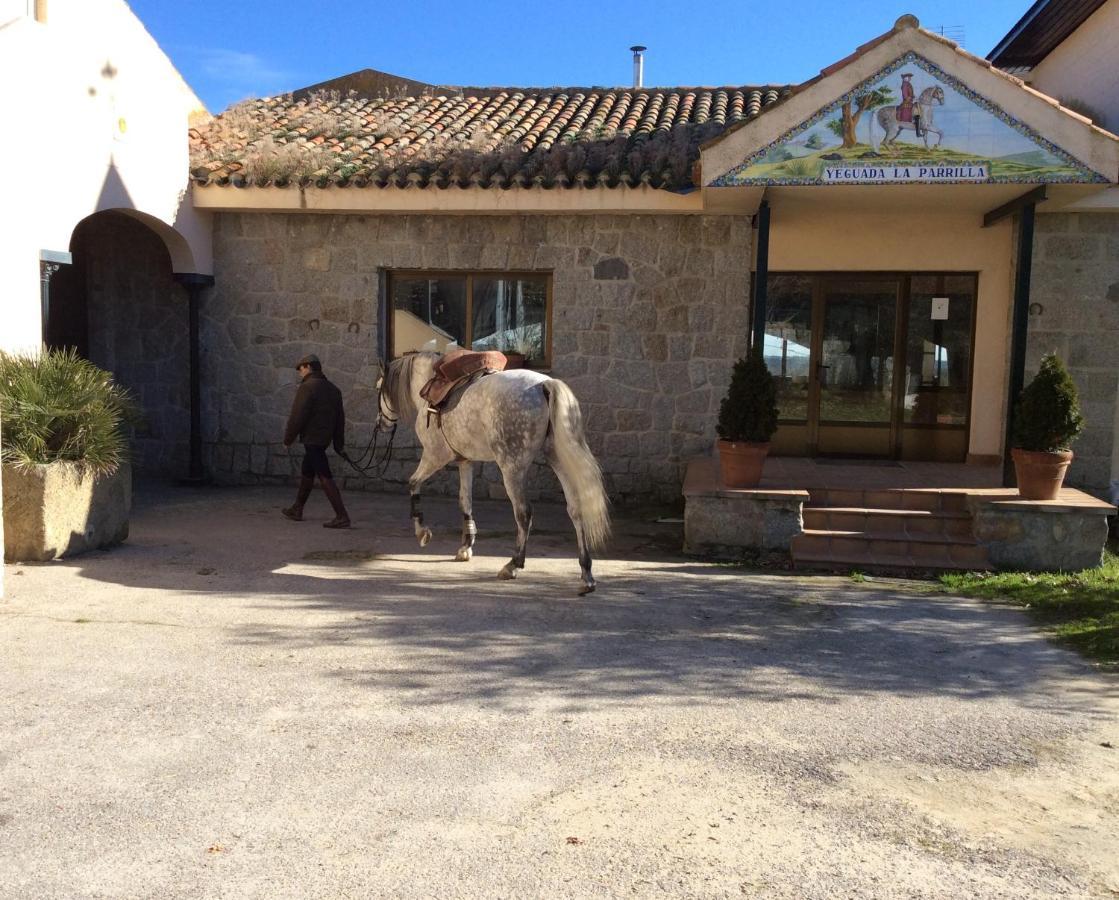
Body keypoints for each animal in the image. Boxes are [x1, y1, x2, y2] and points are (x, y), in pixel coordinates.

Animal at [378, 353, 613, 595]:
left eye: (380, 388)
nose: (381, 423)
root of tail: (545, 384)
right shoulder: (465, 461)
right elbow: (465, 501)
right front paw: (466, 547)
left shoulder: (434, 457)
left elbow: (413, 484)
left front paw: (422, 533)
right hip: (557, 459)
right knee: (575, 509)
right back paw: (586, 575)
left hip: (512, 468)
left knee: (524, 513)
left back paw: (513, 565)